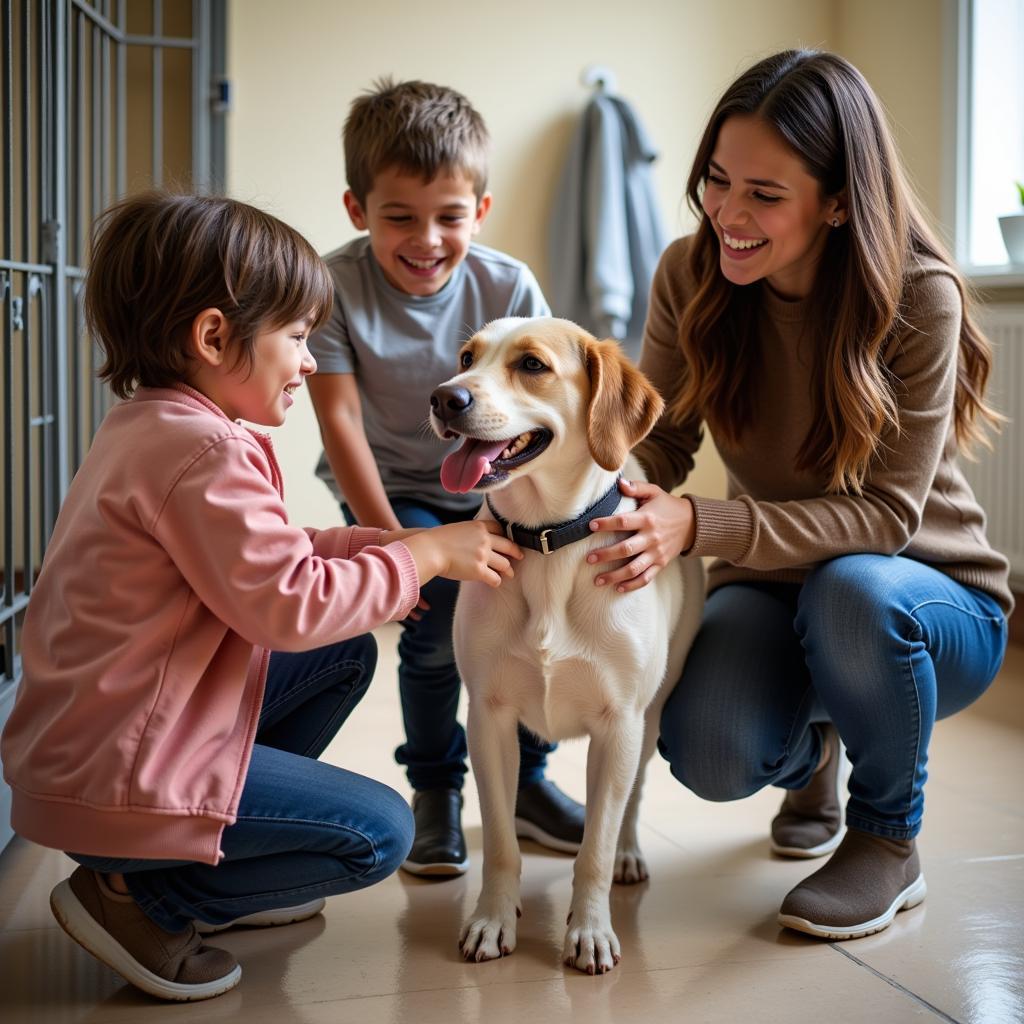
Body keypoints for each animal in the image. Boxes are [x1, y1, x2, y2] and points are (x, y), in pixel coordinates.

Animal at [425, 317, 704, 974]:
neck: (548, 539)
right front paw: (492, 920)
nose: (445, 398)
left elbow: (595, 846)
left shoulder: (619, 723)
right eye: (466, 358)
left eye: (532, 365)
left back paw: (629, 855)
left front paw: (590, 930)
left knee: (631, 802)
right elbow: (501, 840)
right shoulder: (489, 718)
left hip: (652, 718)